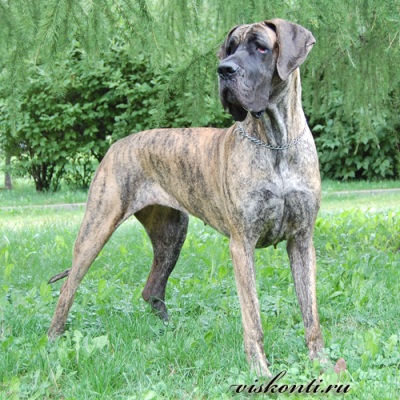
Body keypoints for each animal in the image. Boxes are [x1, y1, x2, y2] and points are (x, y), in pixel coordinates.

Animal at [48, 18, 325, 377]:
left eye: (261, 47)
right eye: (230, 48)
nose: (224, 70)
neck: (276, 140)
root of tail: (116, 144)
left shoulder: (302, 239)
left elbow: (310, 312)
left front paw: (322, 362)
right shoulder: (242, 244)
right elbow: (253, 317)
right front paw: (260, 370)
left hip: (171, 234)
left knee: (152, 289)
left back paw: (170, 333)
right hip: (96, 228)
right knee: (68, 288)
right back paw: (53, 342)